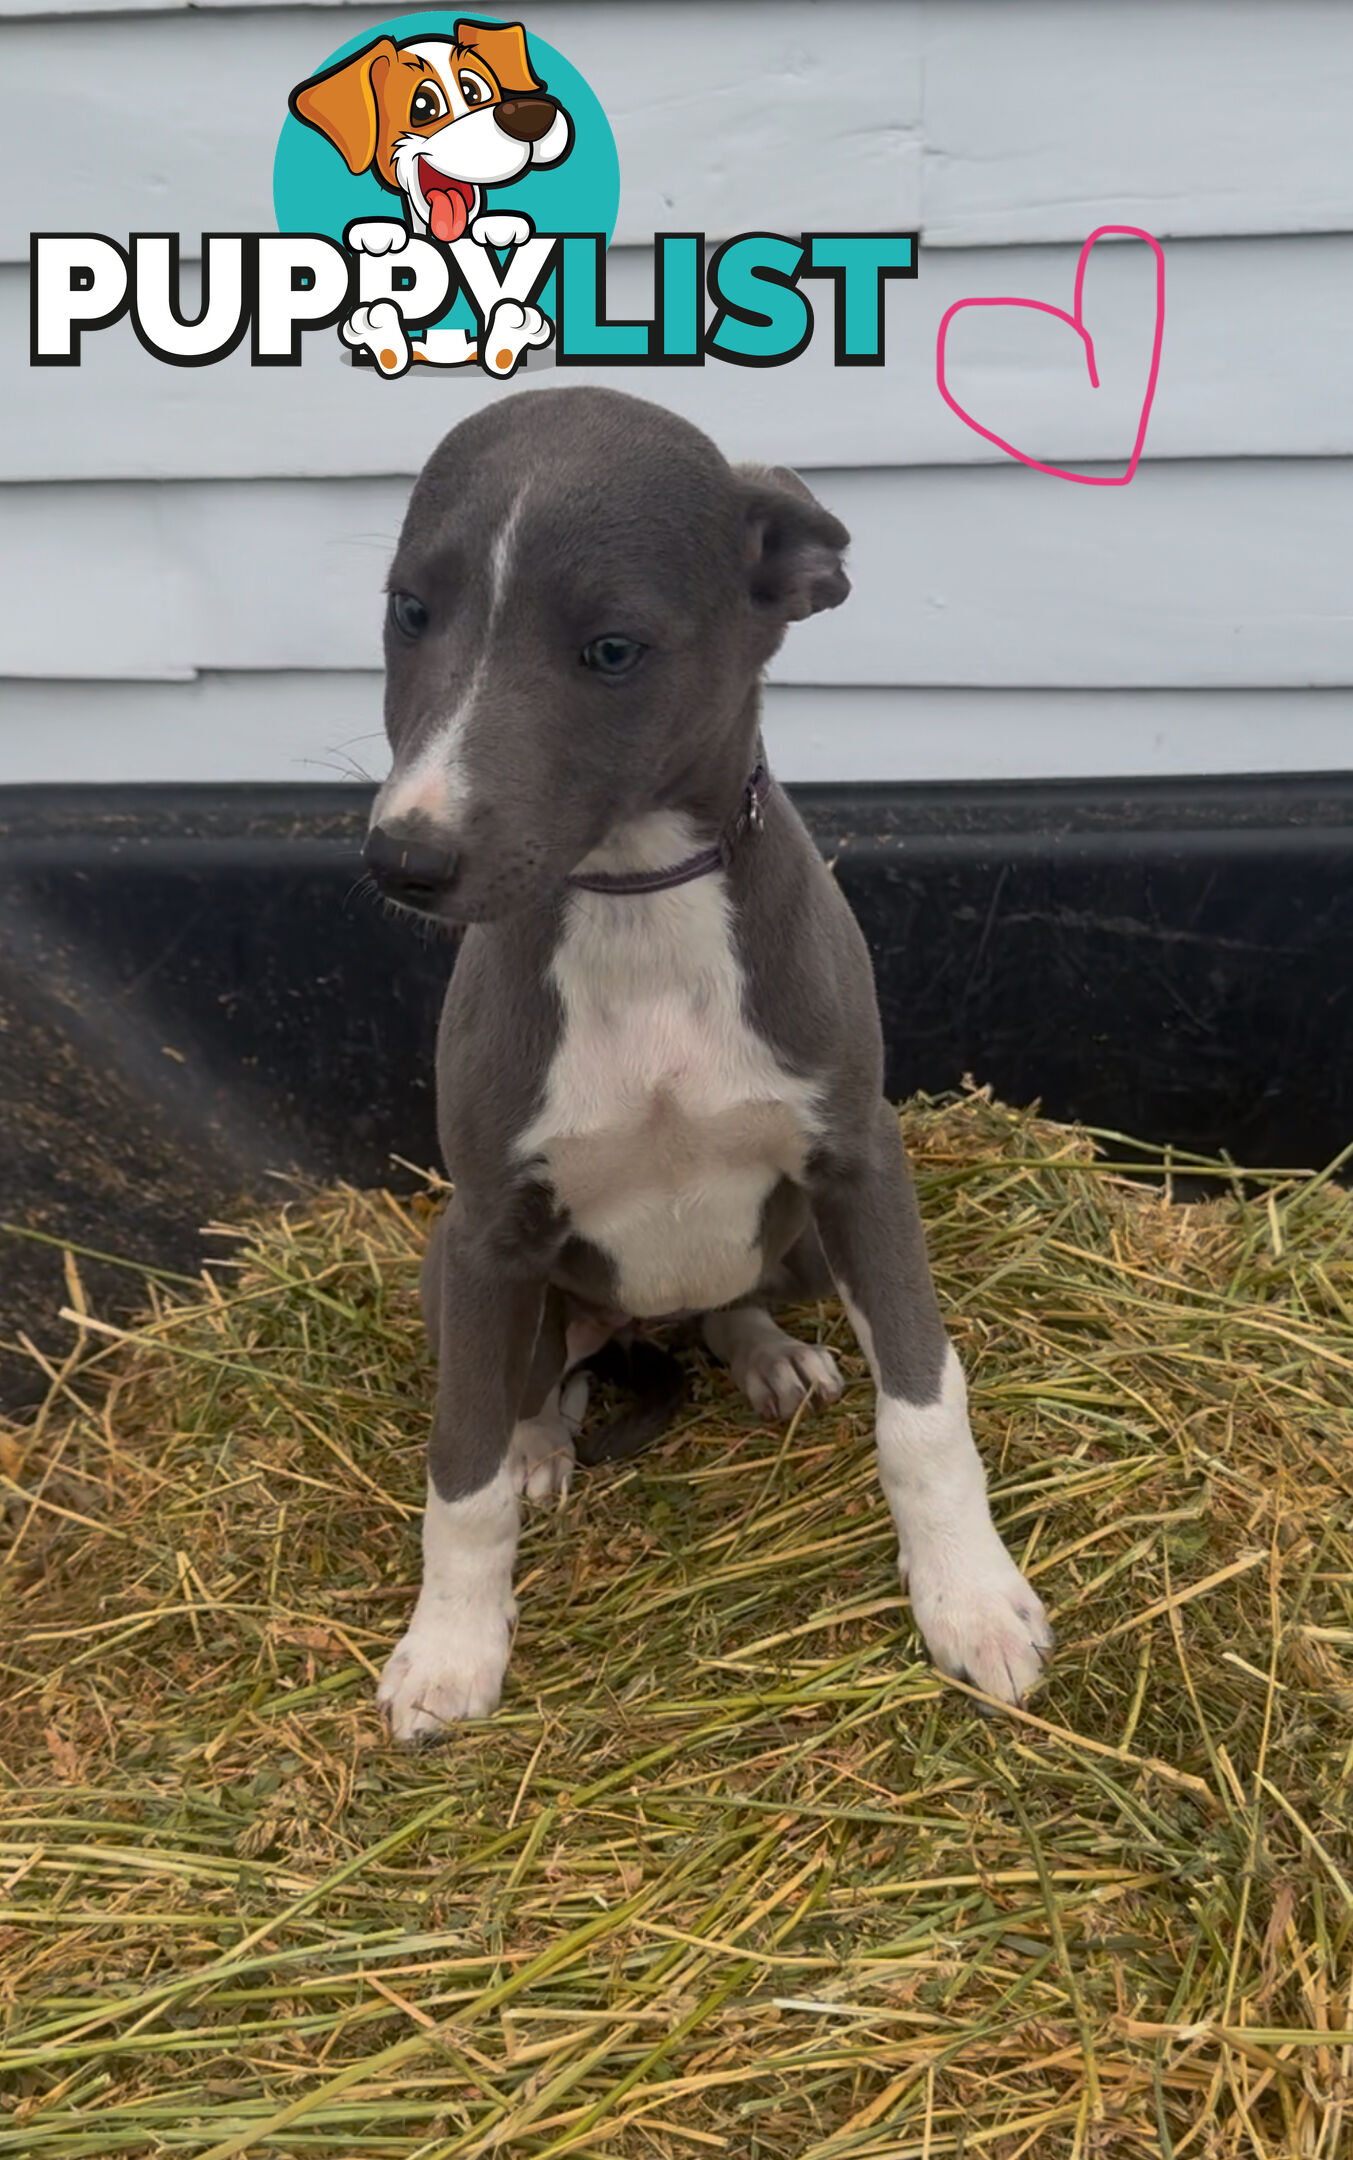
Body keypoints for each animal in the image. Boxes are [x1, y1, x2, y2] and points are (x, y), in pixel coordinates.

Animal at [363, 388, 1050, 1736]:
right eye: (410, 610)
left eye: (613, 650)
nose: (404, 860)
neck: (636, 898)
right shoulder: (487, 1227)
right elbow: (459, 1469)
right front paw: (452, 1649)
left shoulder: (861, 1164)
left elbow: (925, 1407)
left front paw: (971, 1598)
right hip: (453, 1272)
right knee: (534, 1370)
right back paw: (544, 1439)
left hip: (802, 1242)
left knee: (733, 1298)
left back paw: (766, 1353)